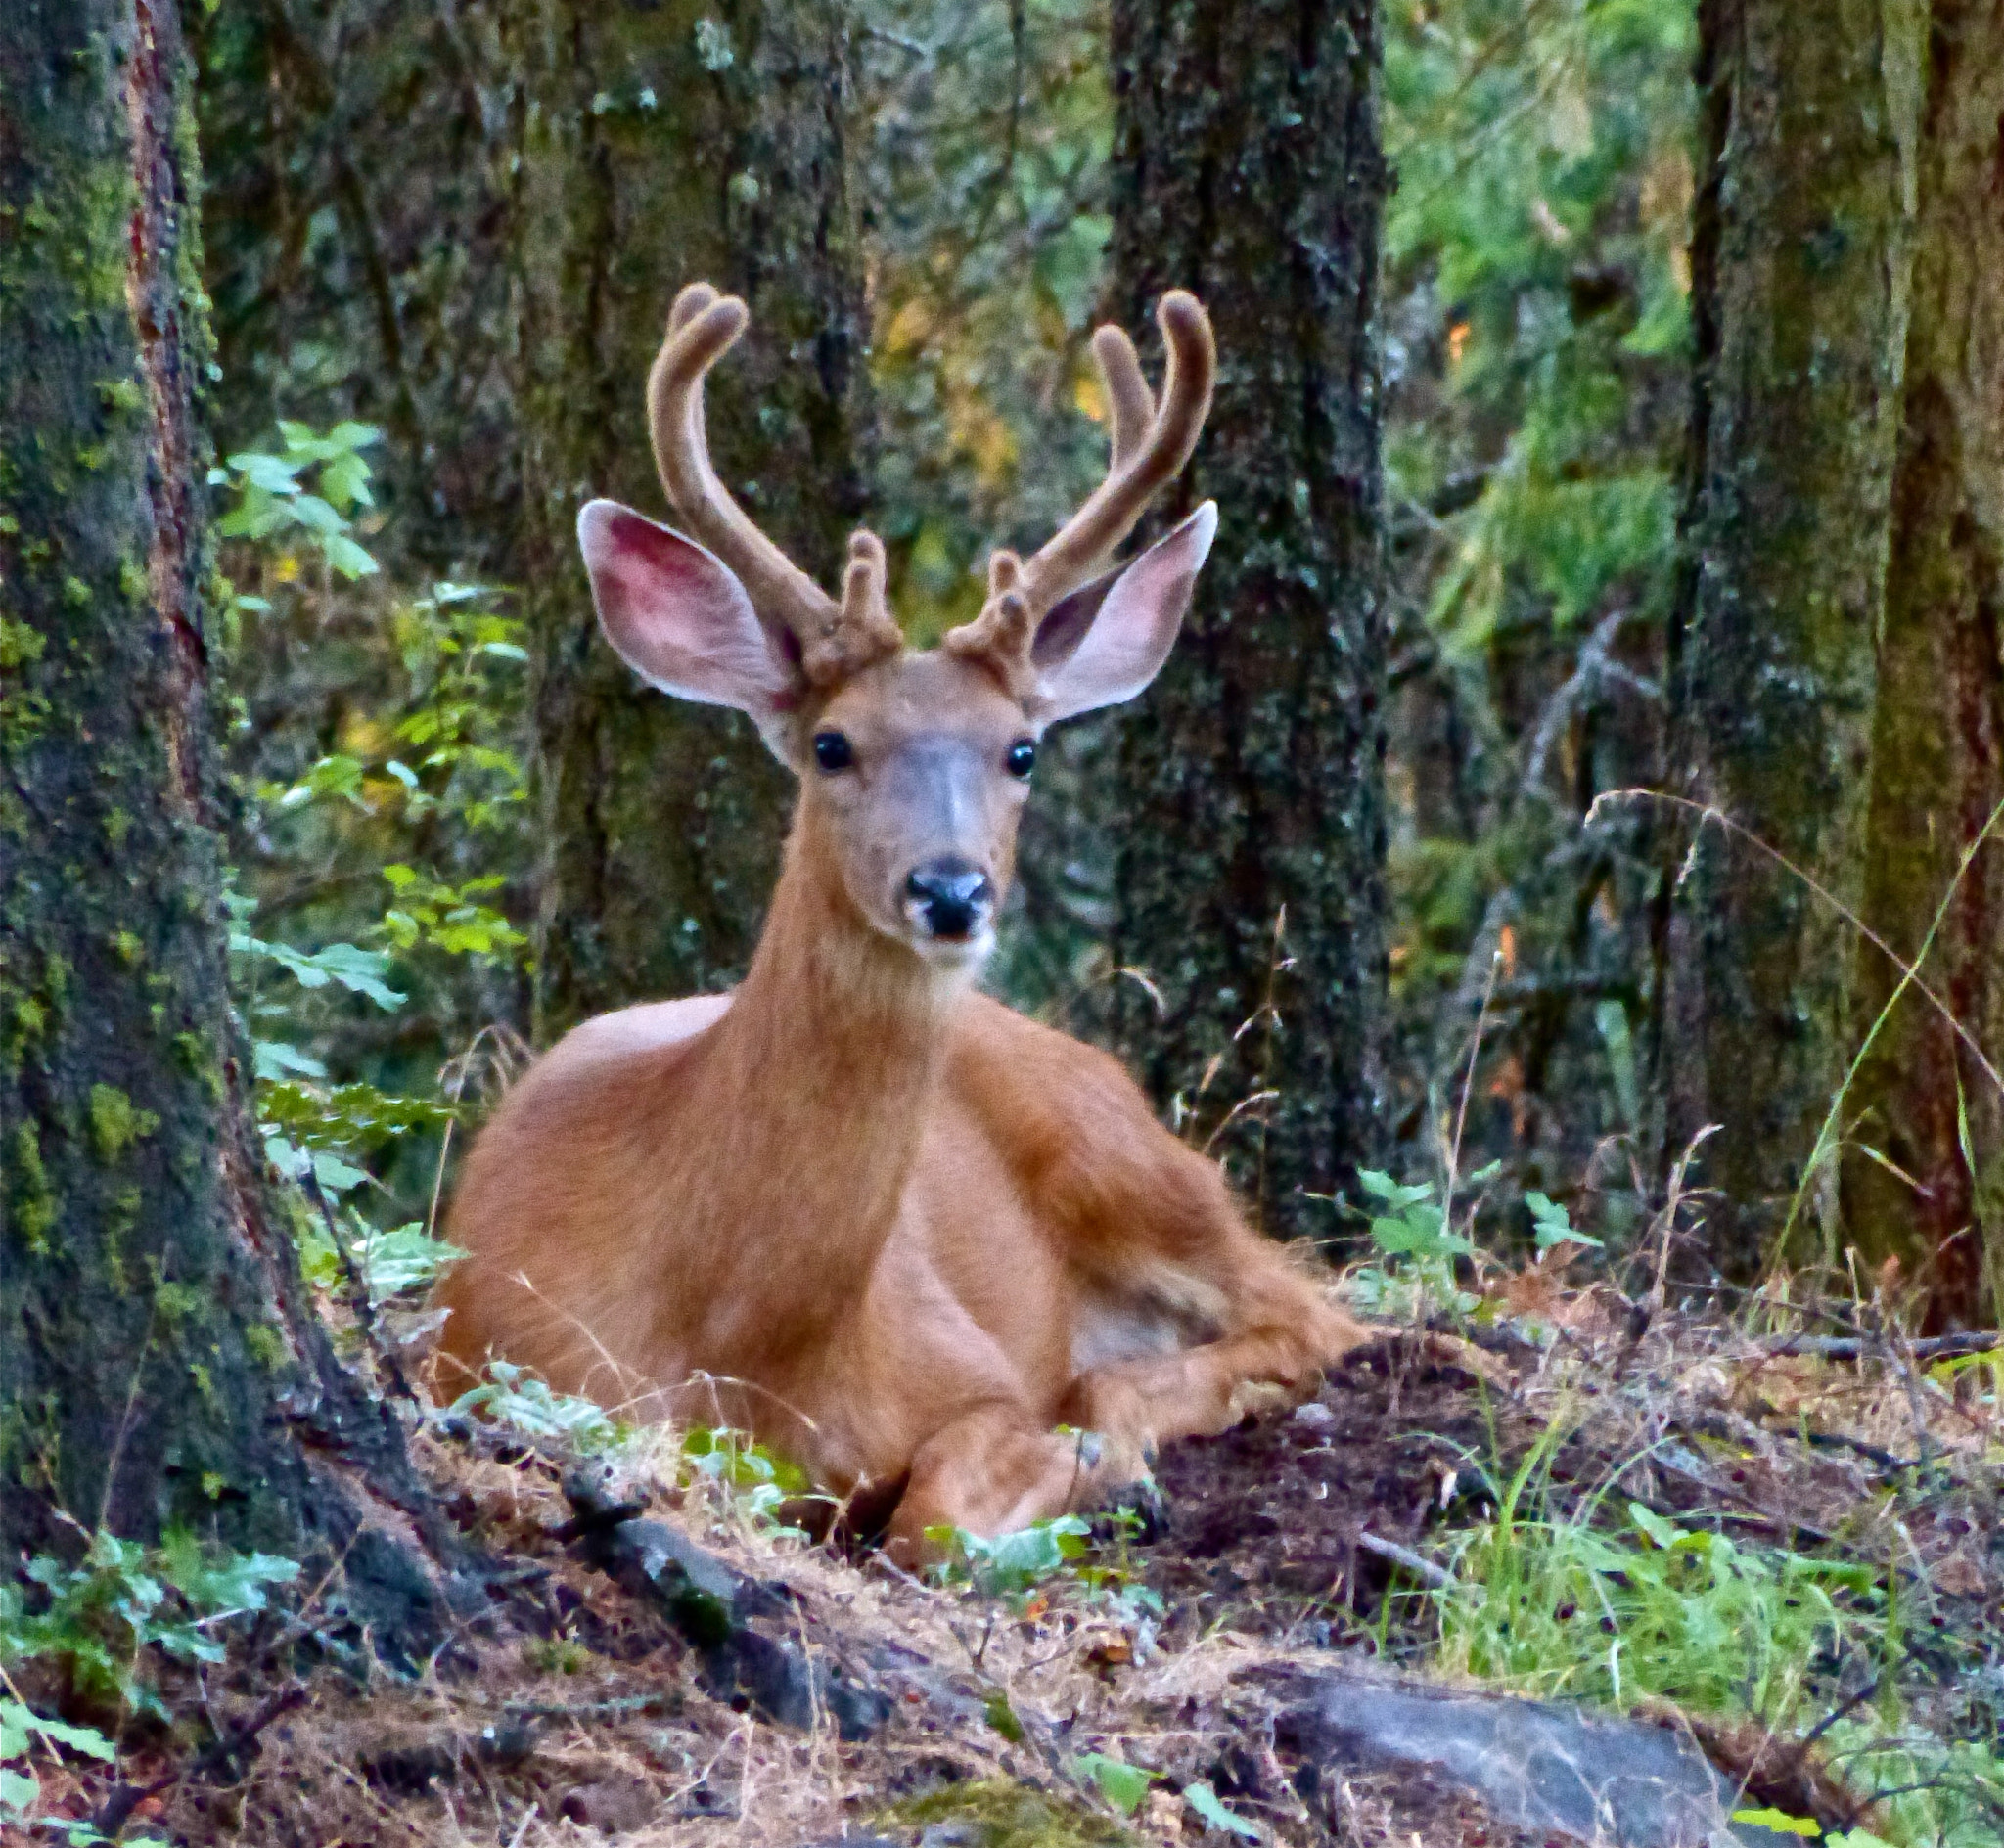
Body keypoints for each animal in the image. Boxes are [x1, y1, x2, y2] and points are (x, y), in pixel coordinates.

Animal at [434, 284, 1379, 1555]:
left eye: (1020, 750)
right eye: (832, 744)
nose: (949, 889)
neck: (735, 1344)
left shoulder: (967, 1371)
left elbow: (929, 1511)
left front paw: (1083, 1465)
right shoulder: (497, 1362)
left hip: (1128, 1155)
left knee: (1313, 1312)